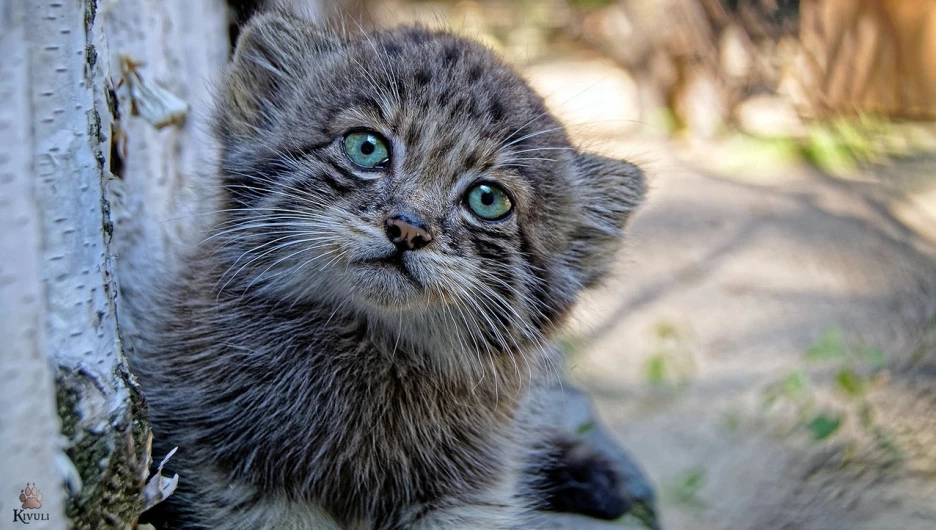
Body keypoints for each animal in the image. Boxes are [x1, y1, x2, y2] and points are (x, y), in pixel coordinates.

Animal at [132, 8, 644, 528]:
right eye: (366, 148)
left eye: (488, 199)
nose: (408, 228)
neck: (373, 347)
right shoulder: (231, 470)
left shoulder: (472, 491)